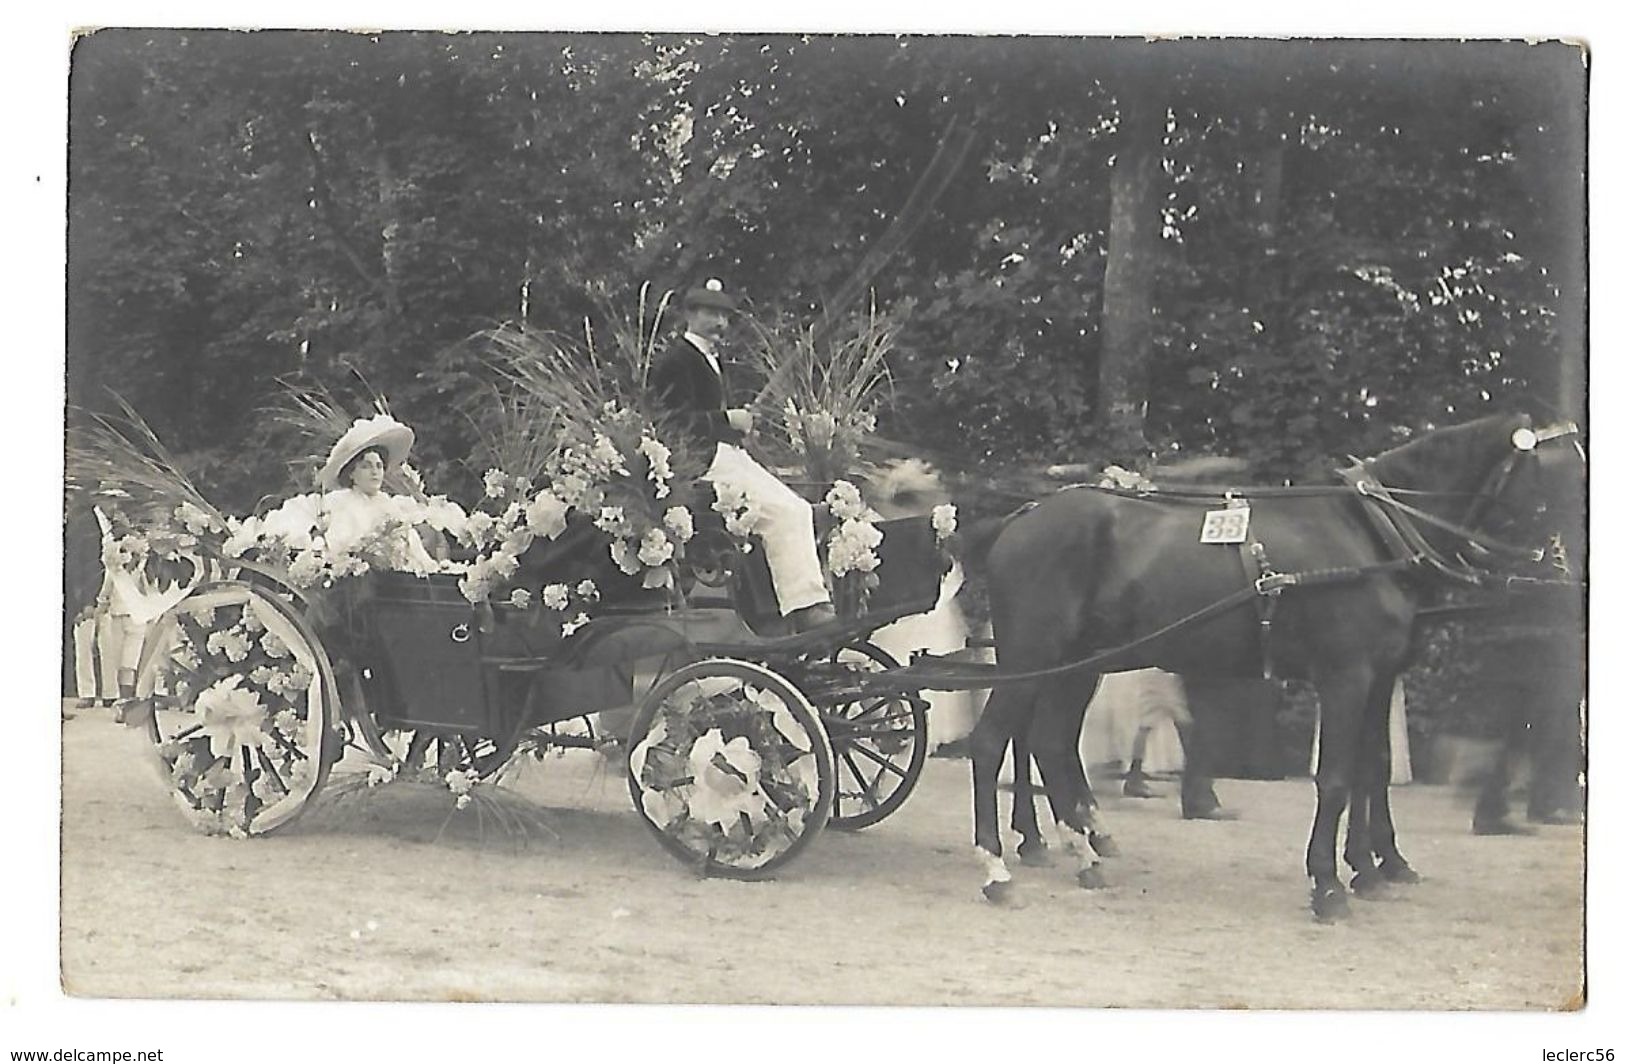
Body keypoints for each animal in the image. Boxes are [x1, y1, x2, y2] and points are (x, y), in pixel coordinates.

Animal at [968, 412, 1579, 922]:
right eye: (1556, 481)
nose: (1567, 578)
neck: (1372, 532)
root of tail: (1024, 517)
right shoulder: (1346, 677)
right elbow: (1336, 778)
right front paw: (1329, 883)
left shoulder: (1379, 677)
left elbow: (1374, 769)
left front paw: (1374, 867)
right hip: (1034, 655)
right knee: (992, 741)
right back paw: (998, 867)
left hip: (1077, 664)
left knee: (1050, 742)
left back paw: (1083, 849)